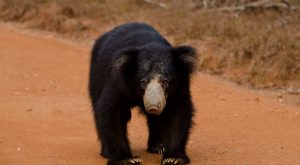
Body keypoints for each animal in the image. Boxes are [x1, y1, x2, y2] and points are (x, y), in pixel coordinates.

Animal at [89, 22, 197, 165]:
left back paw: (159, 146)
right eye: (143, 82)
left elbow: (178, 113)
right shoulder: (117, 82)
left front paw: (173, 158)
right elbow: (111, 111)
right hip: (96, 77)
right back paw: (106, 152)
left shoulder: (180, 87)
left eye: (165, 82)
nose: (153, 107)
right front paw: (127, 159)